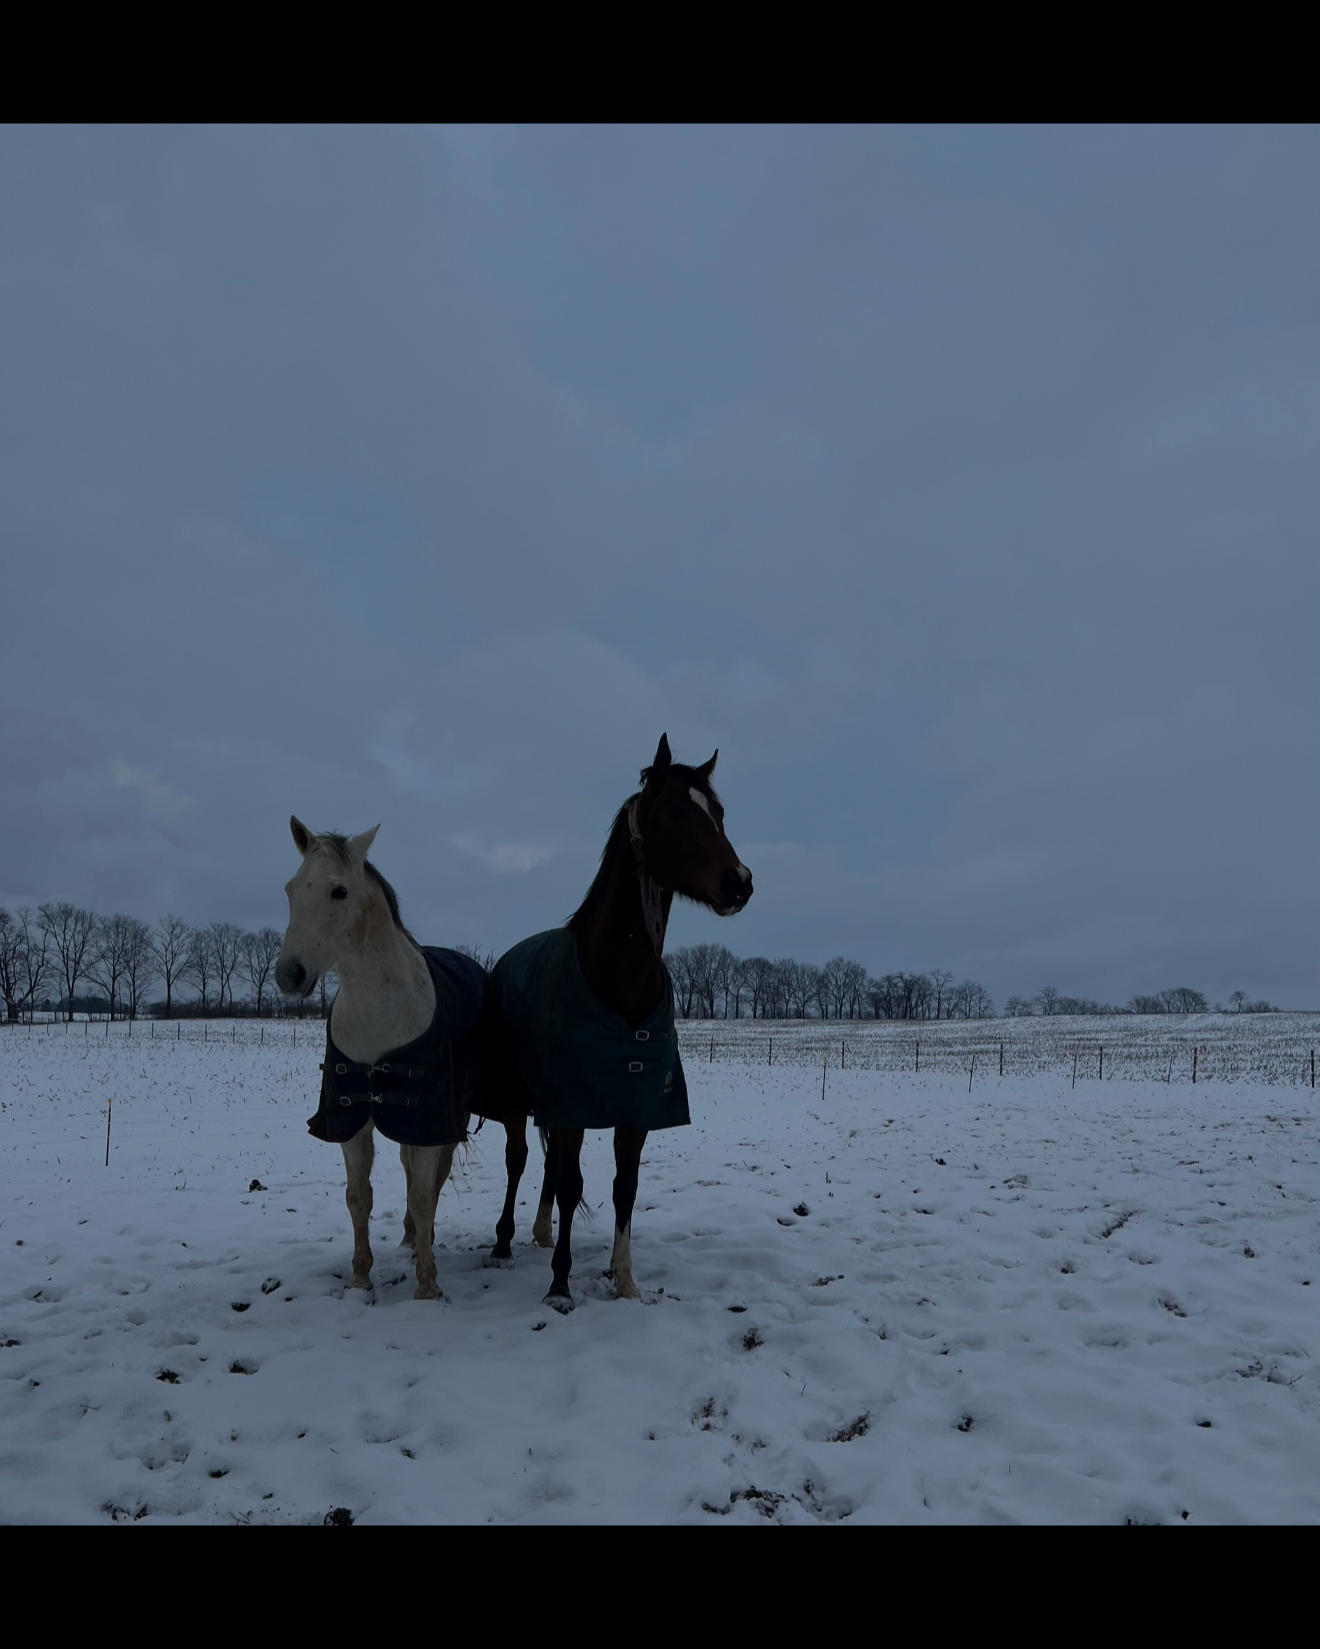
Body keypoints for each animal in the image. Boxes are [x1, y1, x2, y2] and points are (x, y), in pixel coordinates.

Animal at [275, 819, 486, 1300]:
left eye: (339, 891)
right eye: (291, 889)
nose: (289, 975)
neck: (379, 1012)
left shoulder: (429, 1120)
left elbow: (425, 1196)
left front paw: (427, 1286)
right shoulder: (351, 1120)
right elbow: (358, 1197)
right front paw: (359, 1279)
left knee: (434, 1180)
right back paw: (409, 1239)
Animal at [481, 734, 753, 1313]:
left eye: (718, 813)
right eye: (676, 811)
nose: (739, 883)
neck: (618, 980)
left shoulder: (634, 1109)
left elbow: (622, 1188)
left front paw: (624, 1280)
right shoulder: (574, 1105)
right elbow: (571, 1185)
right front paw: (560, 1286)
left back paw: (540, 1233)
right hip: (517, 1101)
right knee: (520, 1159)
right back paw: (503, 1242)